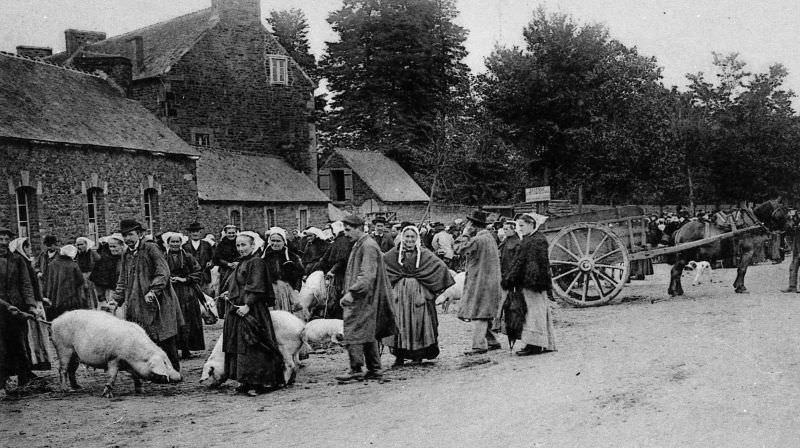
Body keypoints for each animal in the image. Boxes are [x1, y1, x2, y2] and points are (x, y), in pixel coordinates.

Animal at [52, 308, 183, 400]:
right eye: (165, 364)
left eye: (168, 361)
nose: (181, 377)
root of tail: (54, 321)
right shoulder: (114, 358)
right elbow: (112, 376)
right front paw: (107, 395)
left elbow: (136, 377)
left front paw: (141, 391)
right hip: (63, 348)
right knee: (62, 369)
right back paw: (65, 390)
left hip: (75, 355)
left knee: (71, 370)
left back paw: (78, 387)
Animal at [664, 199, 792, 298]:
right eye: (783, 210)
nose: (790, 226)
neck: (750, 223)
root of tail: (680, 230)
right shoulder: (748, 252)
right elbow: (742, 269)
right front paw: (741, 287)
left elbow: (740, 269)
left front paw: (737, 286)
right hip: (684, 256)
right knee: (675, 271)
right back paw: (674, 291)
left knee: (677, 272)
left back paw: (677, 291)